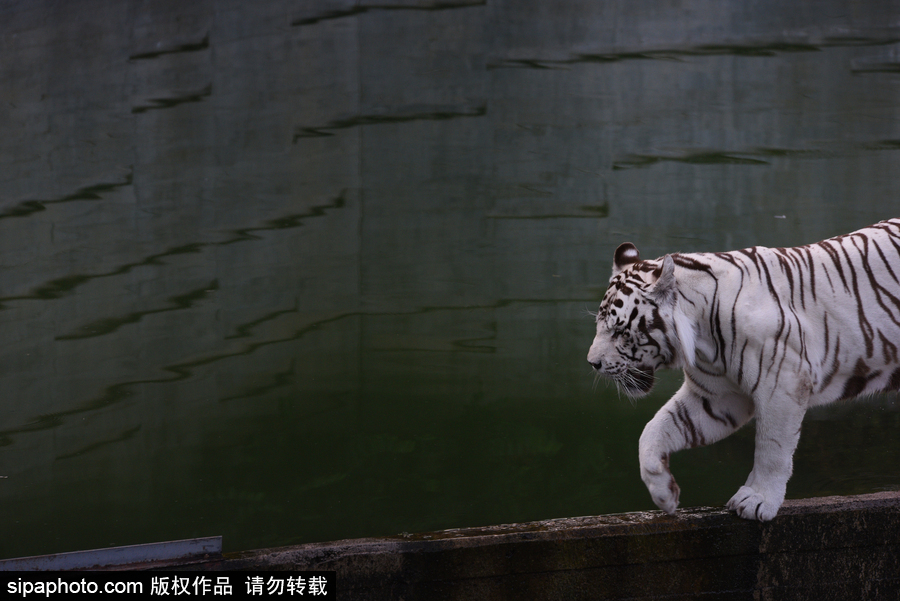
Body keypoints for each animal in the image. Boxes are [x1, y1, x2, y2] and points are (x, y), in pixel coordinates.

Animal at [587, 218, 900, 521]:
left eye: (618, 331)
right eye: (600, 325)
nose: (592, 363)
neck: (703, 336)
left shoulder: (782, 384)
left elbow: (772, 448)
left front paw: (757, 501)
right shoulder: (717, 397)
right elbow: (653, 431)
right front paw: (664, 494)